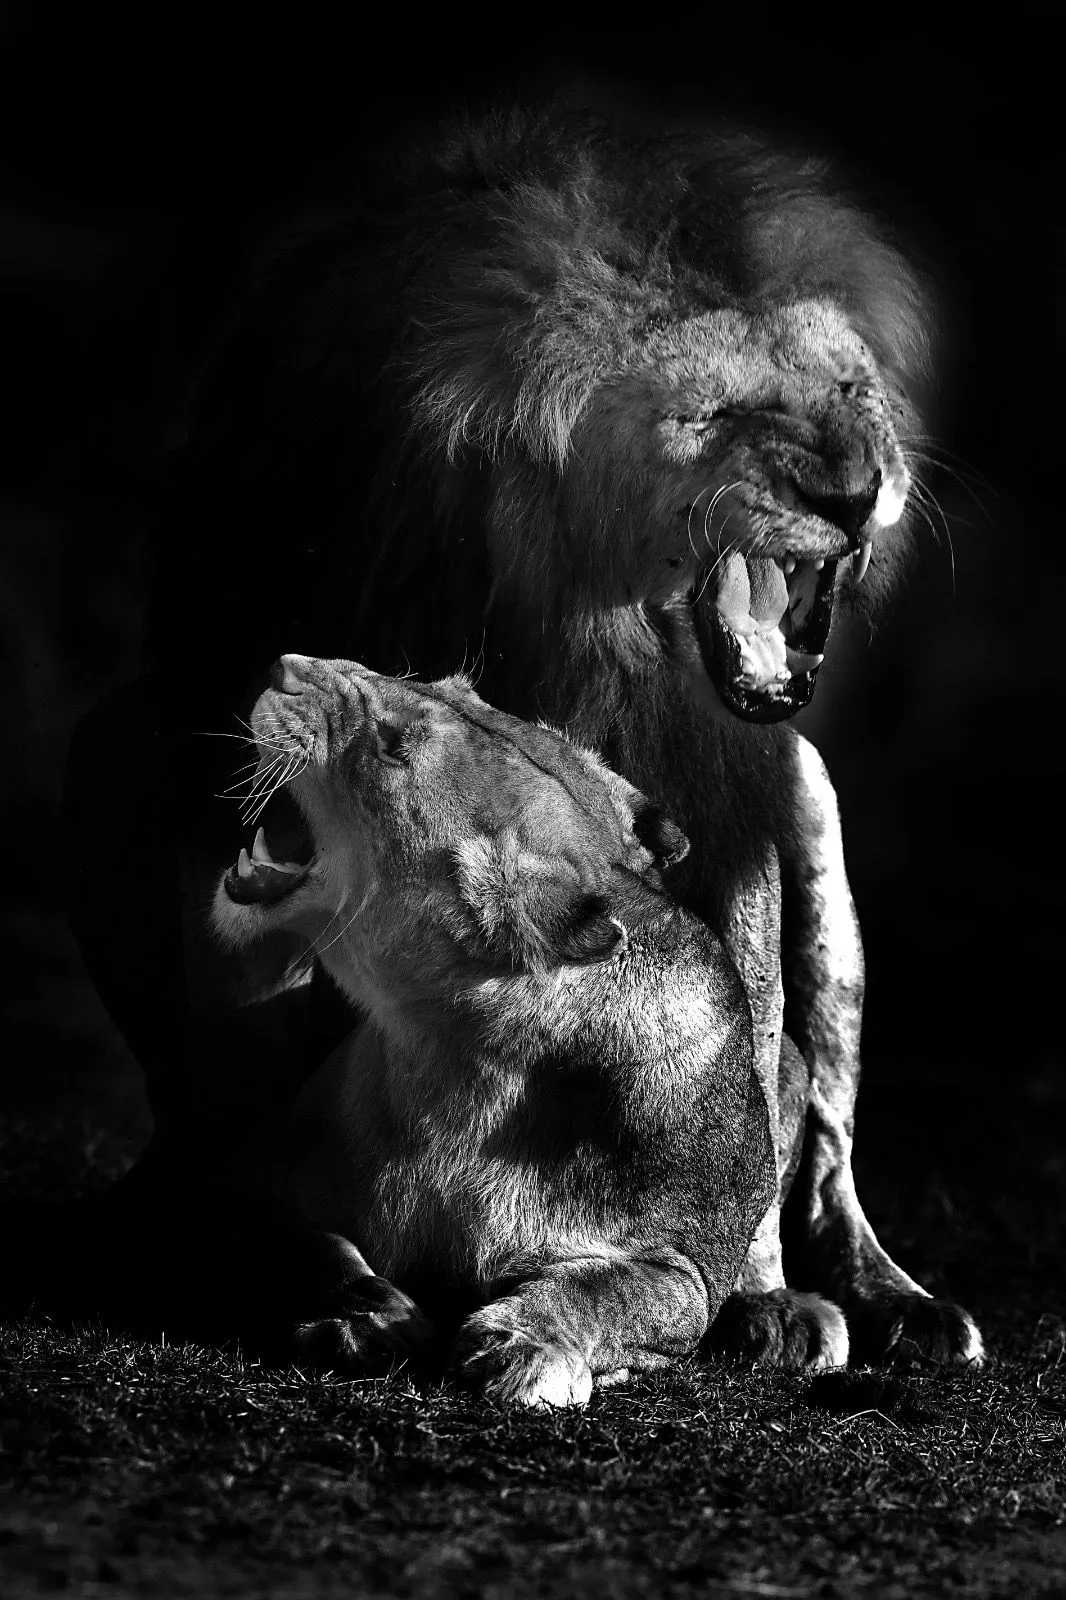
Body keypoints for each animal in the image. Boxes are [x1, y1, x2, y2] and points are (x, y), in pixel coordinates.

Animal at [59, 104, 983, 1369]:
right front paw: (324, 1275)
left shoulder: (731, 781)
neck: (592, 627)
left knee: (826, 1127)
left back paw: (890, 1297)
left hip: (817, 820)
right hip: (115, 748)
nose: (856, 495)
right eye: (716, 413)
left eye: (852, 385)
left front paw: (753, 1289)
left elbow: (749, 1036)